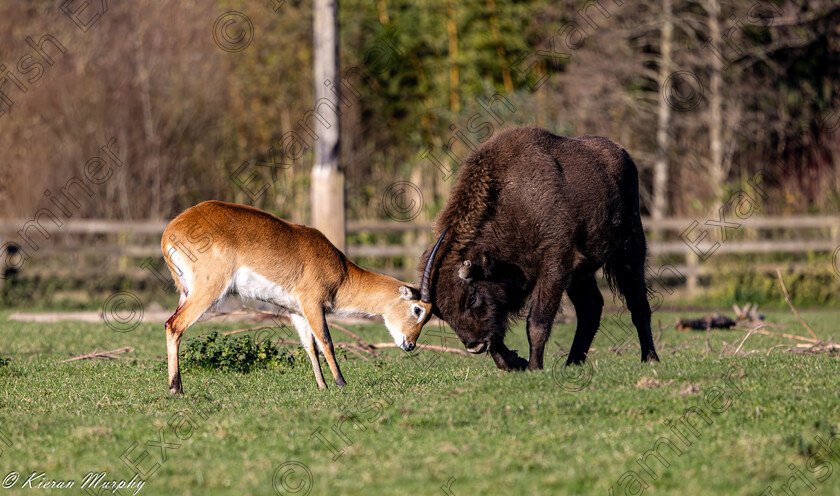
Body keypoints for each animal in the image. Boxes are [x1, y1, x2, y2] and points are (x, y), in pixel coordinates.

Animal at [159, 200, 446, 394]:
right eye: (418, 310)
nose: (410, 344)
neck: (342, 272)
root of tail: (171, 230)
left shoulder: (296, 311)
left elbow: (310, 346)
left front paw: (322, 386)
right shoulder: (313, 304)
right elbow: (327, 341)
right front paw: (341, 383)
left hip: (186, 293)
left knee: (170, 323)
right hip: (208, 291)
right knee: (174, 325)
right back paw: (176, 389)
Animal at [416, 126, 660, 370]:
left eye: (472, 298)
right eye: (442, 314)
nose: (475, 346)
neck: (512, 204)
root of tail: (622, 153)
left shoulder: (554, 267)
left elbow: (536, 323)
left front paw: (533, 367)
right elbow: (498, 334)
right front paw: (514, 363)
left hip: (629, 252)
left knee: (638, 305)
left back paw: (650, 358)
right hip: (582, 274)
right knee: (590, 309)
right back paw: (572, 363)